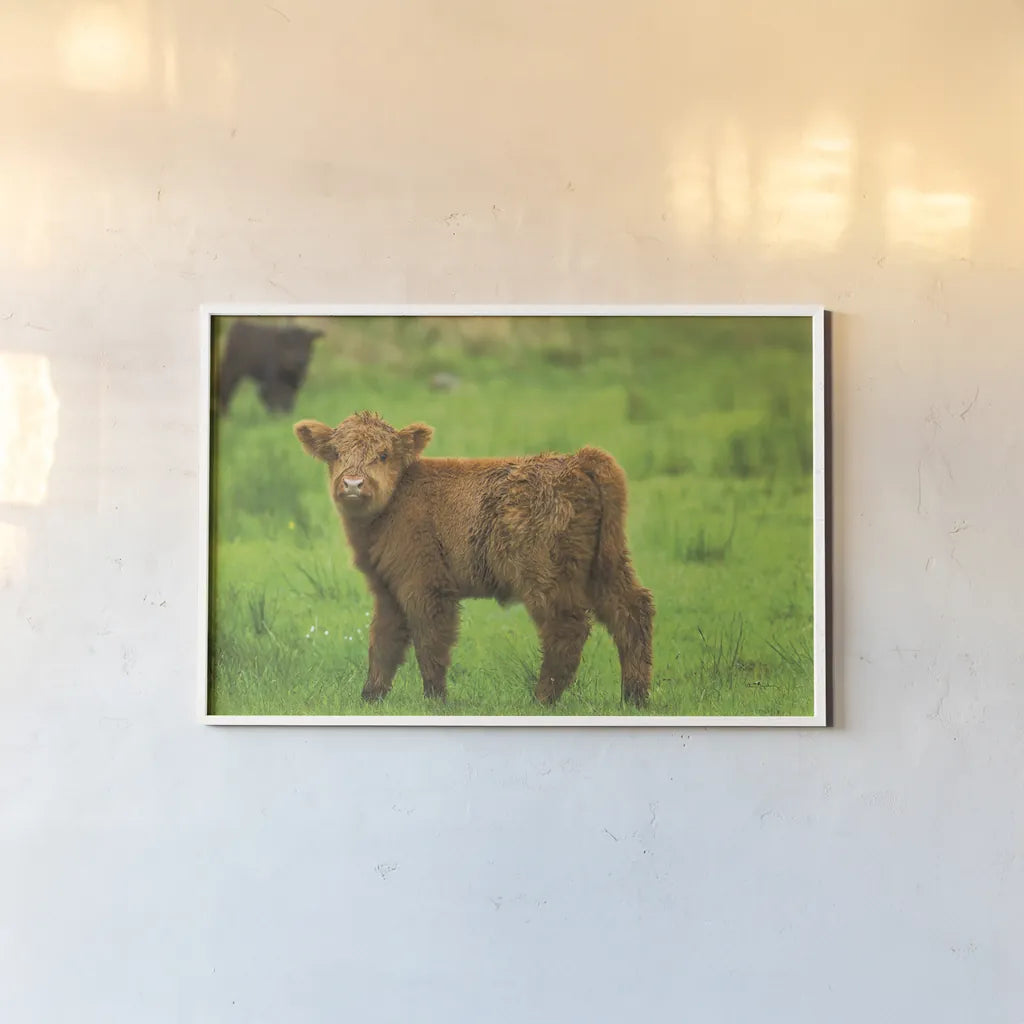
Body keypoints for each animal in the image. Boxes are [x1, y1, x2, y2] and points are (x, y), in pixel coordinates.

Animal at [294, 411, 654, 706]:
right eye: (335, 453)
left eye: (383, 455)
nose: (353, 483)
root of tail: (578, 460)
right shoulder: (387, 588)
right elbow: (383, 641)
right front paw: (370, 697)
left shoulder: (425, 584)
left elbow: (430, 641)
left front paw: (435, 700)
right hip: (607, 565)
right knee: (631, 611)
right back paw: (634, 697)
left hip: (546, 574)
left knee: (568, 627)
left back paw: (541, 699)